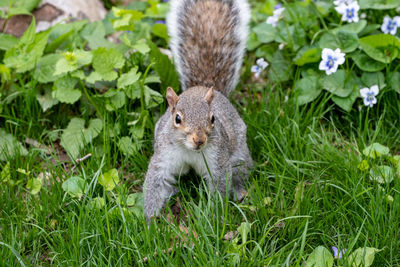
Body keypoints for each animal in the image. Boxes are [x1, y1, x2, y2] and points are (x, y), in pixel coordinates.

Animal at [143, 0, 253, 223]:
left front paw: (213, 217)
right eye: (177, 118)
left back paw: (239, 191)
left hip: (239, 153)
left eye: (212, 119)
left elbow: (220, 186)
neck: (189, 151)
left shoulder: (218, 161)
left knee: (240, 170)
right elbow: (155, 183)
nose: (199, 140)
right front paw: (149, 222)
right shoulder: (163, 158)